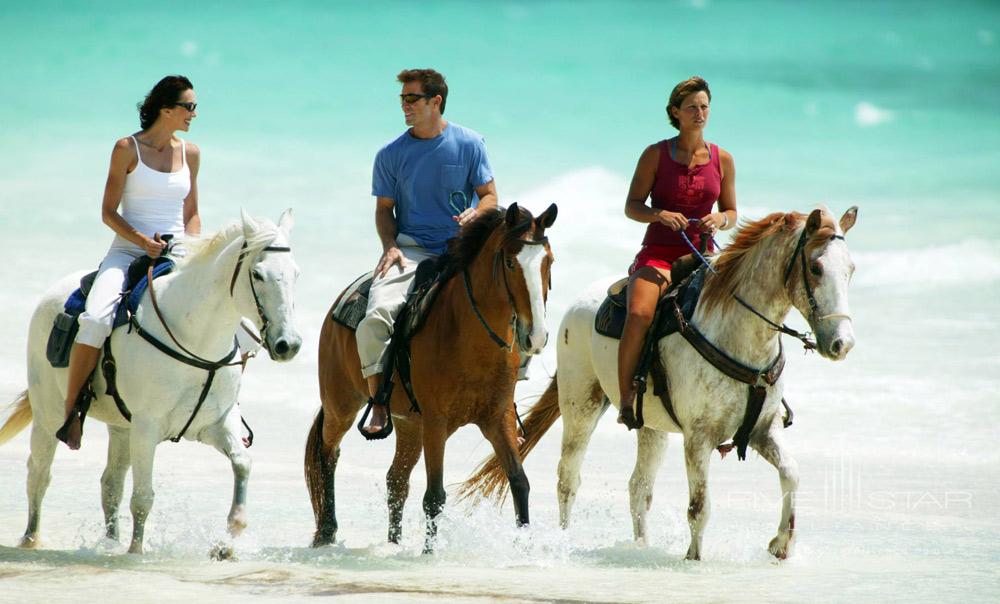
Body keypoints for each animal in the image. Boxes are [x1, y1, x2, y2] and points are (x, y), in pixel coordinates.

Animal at [0, 210, 300, 556]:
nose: (288, 345)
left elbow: (242, 464)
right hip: (48, 414)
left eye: (296, 274)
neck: (195, 337)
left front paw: (229, 540)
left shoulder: (217, 423)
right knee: (39, 473)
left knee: (110, 483)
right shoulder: (147, 427)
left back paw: (109, 542)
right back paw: (31, 539)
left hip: (121, 428)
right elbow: (143, 497)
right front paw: (136, 552)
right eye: (257, 274)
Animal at [302, 203, 556, 552]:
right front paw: (429, 553)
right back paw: (327, 531)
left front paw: (525, 546)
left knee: (396, 480)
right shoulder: (436, 422)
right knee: (329, 453)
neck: (470, 336)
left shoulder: (498, 418)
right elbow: (434, 496)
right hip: (342, 405)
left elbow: (518, 482)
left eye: (549, 261)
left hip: (410, 424)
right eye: (509, 262)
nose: (536, 336)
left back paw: (392, 543)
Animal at [464, 208, 856, 560]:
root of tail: (579, 302)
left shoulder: (763, 429)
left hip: (650, 426)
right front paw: (693, 559)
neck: (738, 334)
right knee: (568, 478)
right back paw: (563, 539)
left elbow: (791, 474)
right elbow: (699, 506)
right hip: (581, 407)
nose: (843, 344)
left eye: (851, 270)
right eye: (816, 268)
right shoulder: (699, 438)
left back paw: (640, 547)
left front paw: (781, 544)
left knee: (639, 488)